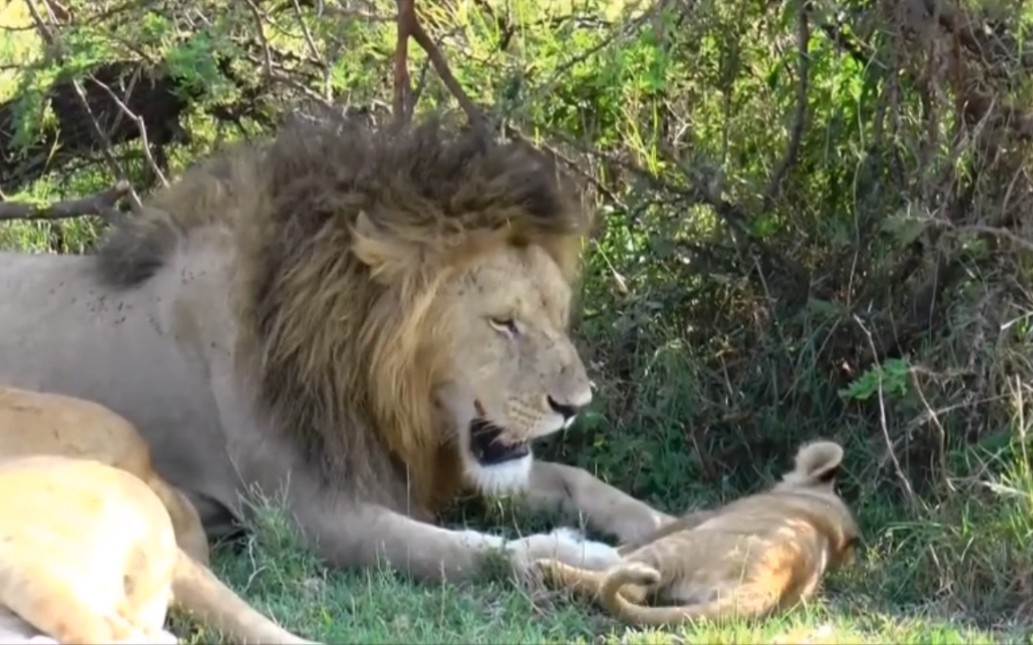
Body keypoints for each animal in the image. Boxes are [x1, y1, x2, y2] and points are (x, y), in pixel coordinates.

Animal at [0, 113, 669, 582]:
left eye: (557, 314)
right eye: (503, 323)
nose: (576, 405)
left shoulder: (417, 463)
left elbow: (577, 479)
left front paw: (667, 524)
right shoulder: (307, 515)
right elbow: (467, 555)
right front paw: (584, 558)